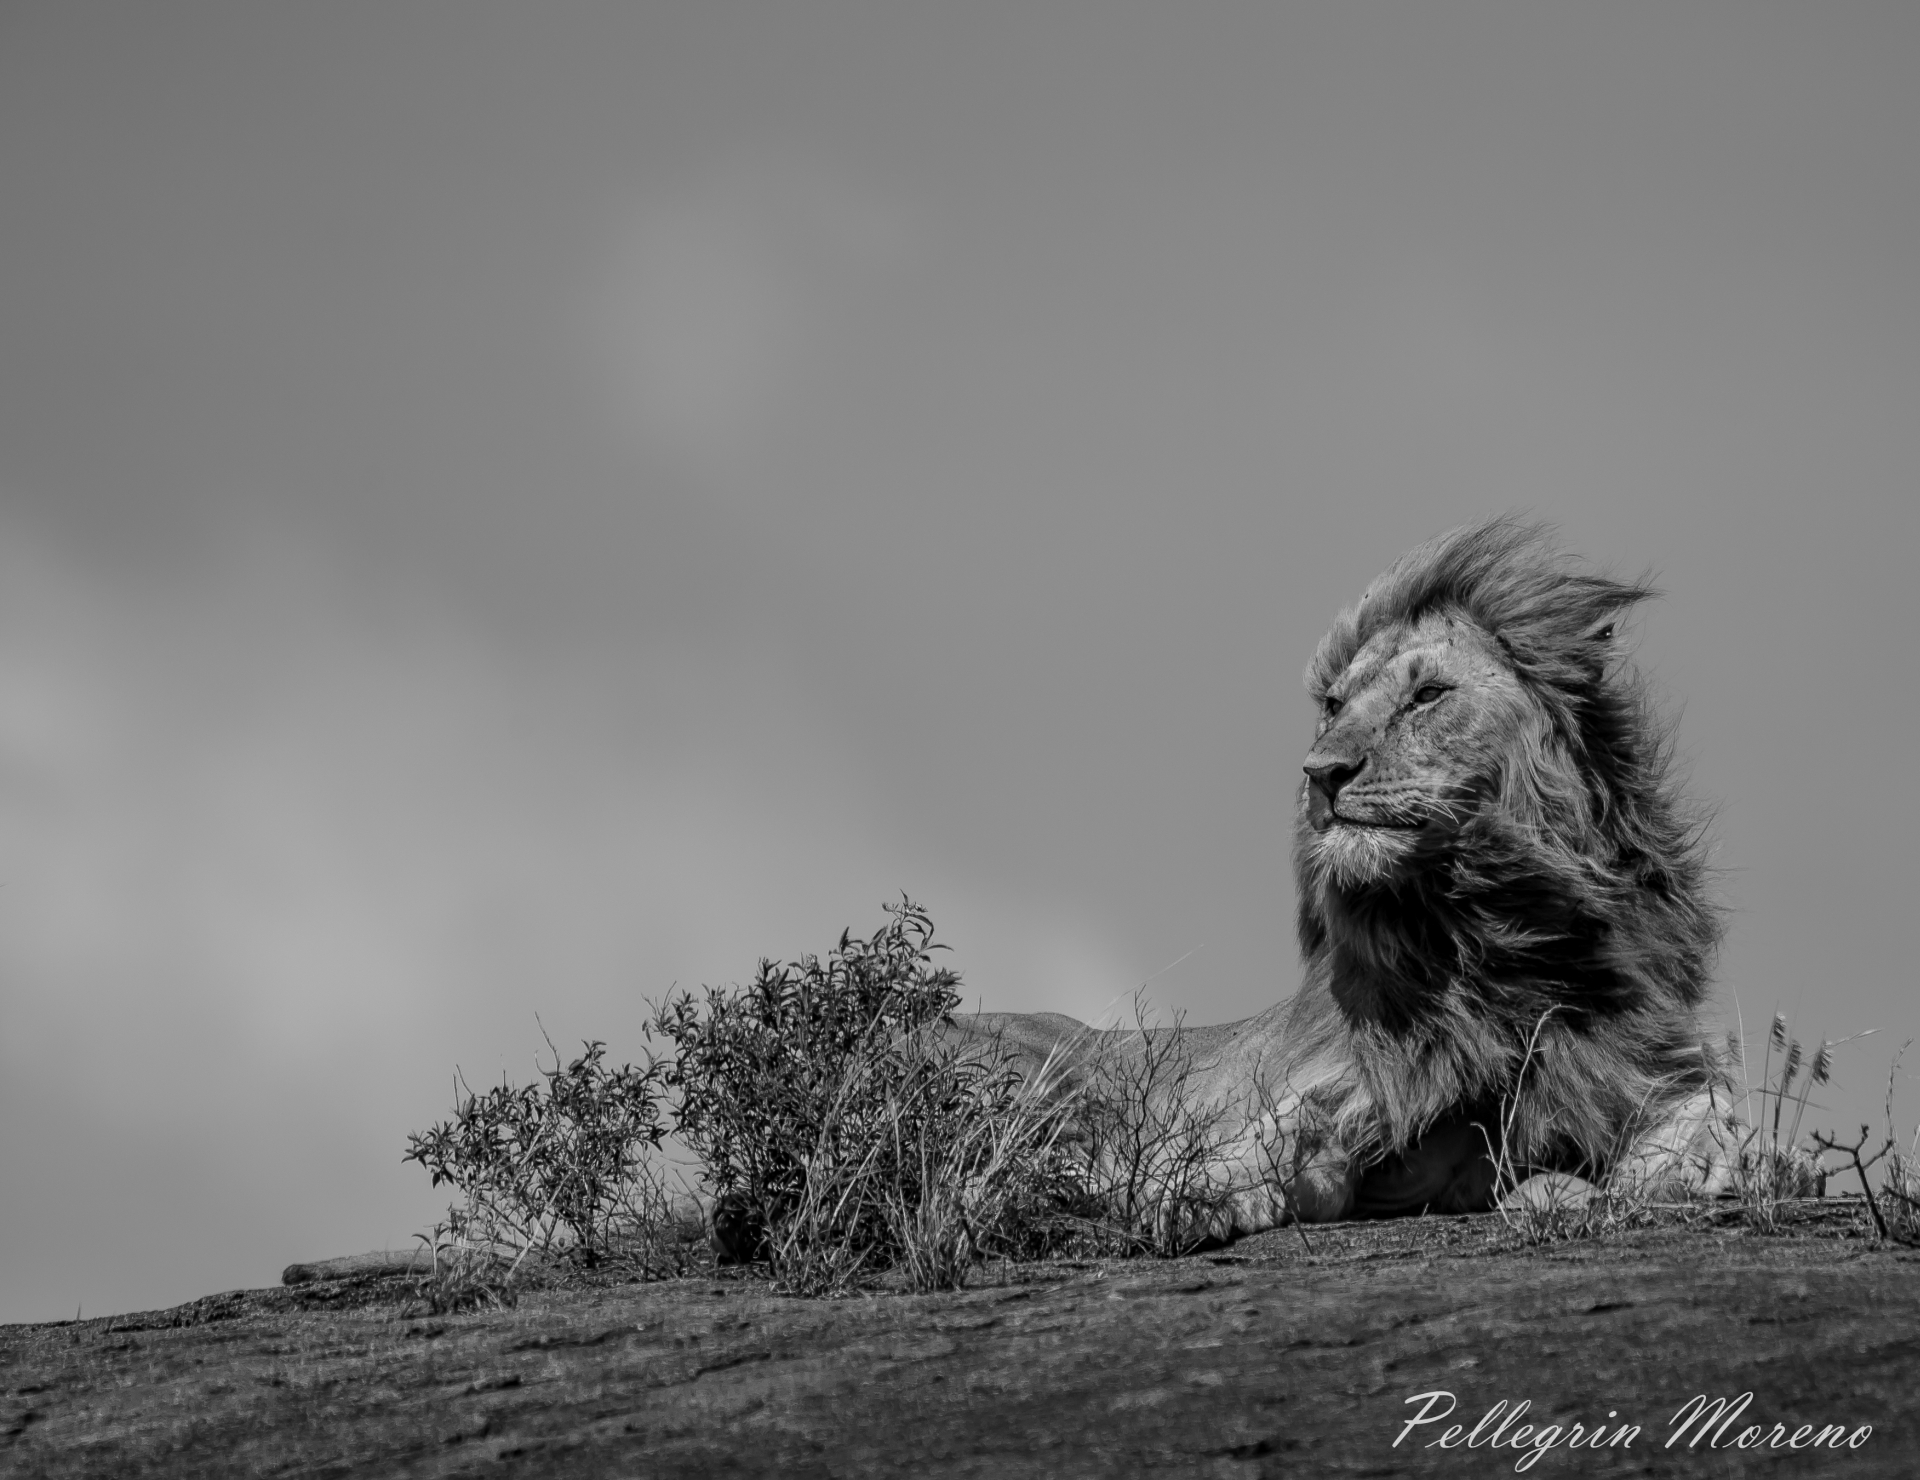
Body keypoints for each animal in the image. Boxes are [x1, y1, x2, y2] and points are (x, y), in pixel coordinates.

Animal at [968, 517, 1735, 1235]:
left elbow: (1712, 1122)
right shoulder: (1339, 1086)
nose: (1321, 773)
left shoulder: (1639, 1068)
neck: (1487, 930)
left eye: (1427, 695)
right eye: (1335, 706)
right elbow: (1258, 1144)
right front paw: (1182, 1192)